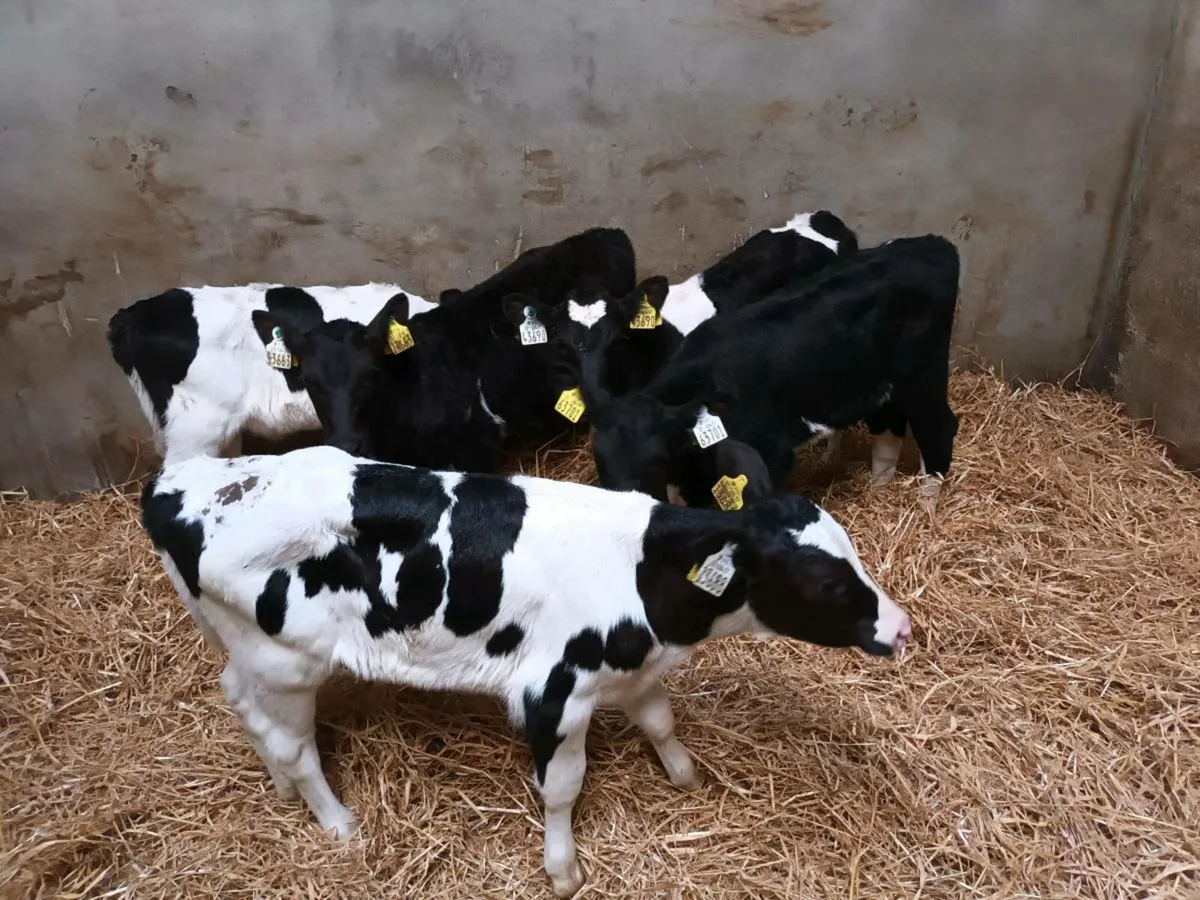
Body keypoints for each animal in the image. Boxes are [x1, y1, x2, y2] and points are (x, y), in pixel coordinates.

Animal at [140, 444, 912, 898]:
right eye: (826, 582)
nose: (900, 627)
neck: (643, 576)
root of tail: (176, 483)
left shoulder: (628, 669)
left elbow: (660, 719)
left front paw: (686, 775)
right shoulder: (555, 693)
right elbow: (562, 788)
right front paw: (563, 870)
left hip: (244, 651)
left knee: (244, 705)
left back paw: (278, 789)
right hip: (286, 660)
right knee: (295, 747)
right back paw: (338, 824)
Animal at [576, 235, 961, 507]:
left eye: (654, 464)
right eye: (601, 464)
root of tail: (934, 243)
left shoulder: (770, 453)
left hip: (923, 373)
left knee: (939, 428)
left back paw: (925, 510)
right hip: (879, 383)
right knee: (888, 429)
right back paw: (879, 491)